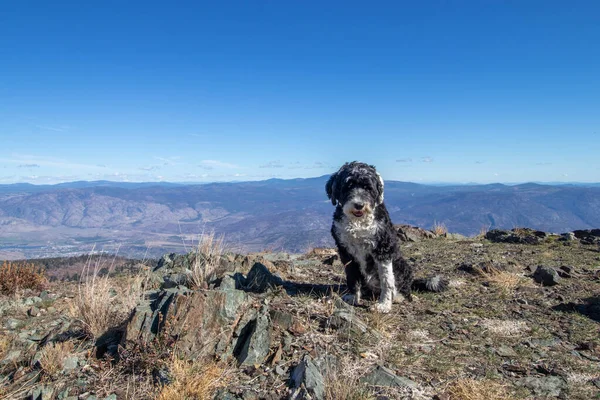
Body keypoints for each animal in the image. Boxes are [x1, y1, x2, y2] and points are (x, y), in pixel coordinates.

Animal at [326, 162, 448, 312]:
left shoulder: (383, 249)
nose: (359, 205)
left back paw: (398, 296)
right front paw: (353, 296)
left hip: (402, 265)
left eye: (368, 187)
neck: (359, 223)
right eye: (348, 186)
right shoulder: (345, 251)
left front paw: (384, 304)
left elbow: (387, 280)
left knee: (404, 287)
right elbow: (351, 275)